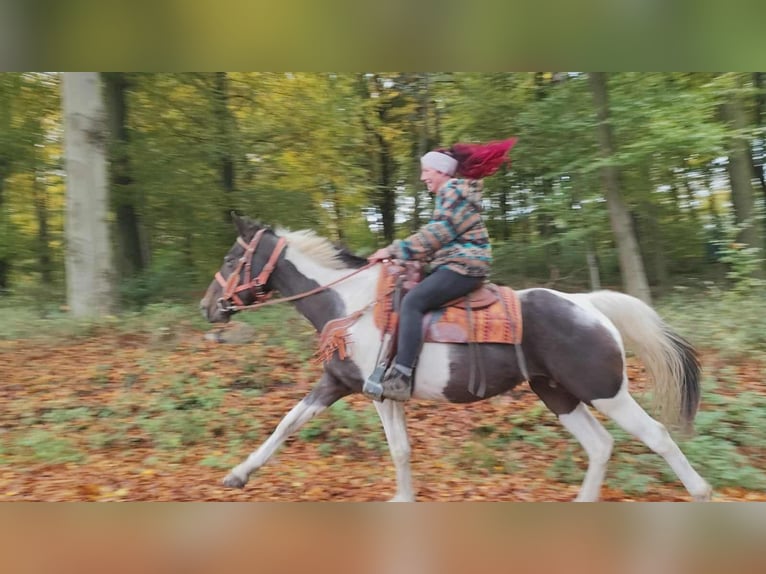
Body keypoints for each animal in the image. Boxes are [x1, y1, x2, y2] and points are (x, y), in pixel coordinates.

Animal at [199, 214, 712, 502]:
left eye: (230, 259)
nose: (208, 307)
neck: (351, 303)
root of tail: (588, 304)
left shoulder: (378, 394)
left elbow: (396, 449)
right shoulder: (338, 384)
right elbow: (288, 424)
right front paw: (238, 474)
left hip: (606, 392)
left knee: (657, 435)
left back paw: (701, 492)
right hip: (558, 395)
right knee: (600, 446)